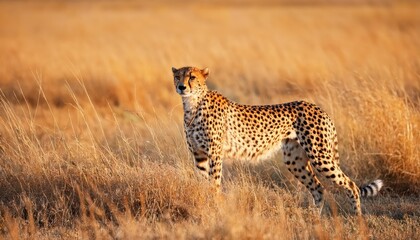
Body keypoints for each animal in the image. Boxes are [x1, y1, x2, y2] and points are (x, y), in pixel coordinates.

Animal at [171, 66, 384, 216]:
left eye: (192, 77)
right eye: (177, 76)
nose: (181, 87)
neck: (193, 104)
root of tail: (317, 108)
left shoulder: (214, 154)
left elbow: (214, 184)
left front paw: (215, 208)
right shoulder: (199, 155)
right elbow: (202, 183)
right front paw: (205, 204)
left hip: (320, 156)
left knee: (351, 185)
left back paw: (358, 220)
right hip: (295, 160)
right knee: (318, 188)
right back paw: (314, 220)